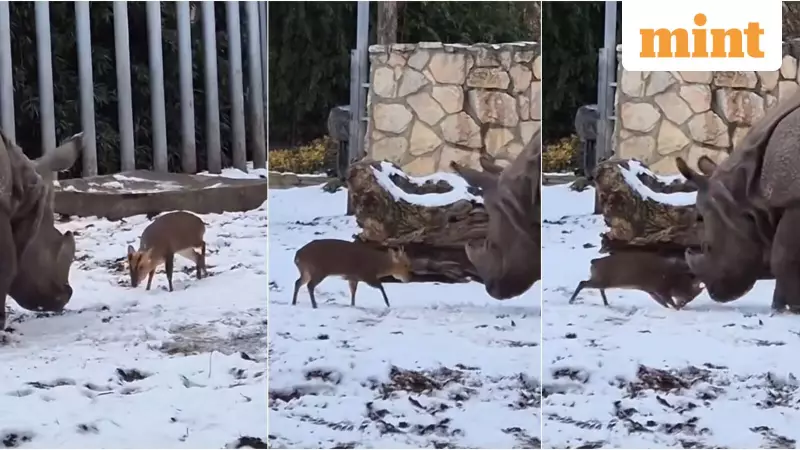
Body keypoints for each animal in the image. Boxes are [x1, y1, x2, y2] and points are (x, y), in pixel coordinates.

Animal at [675, 91, 800, 312]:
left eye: (708, 247)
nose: (715, 293)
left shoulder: (794, 202)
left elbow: (783, 256)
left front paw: (792, 308)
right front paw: (779, 308)